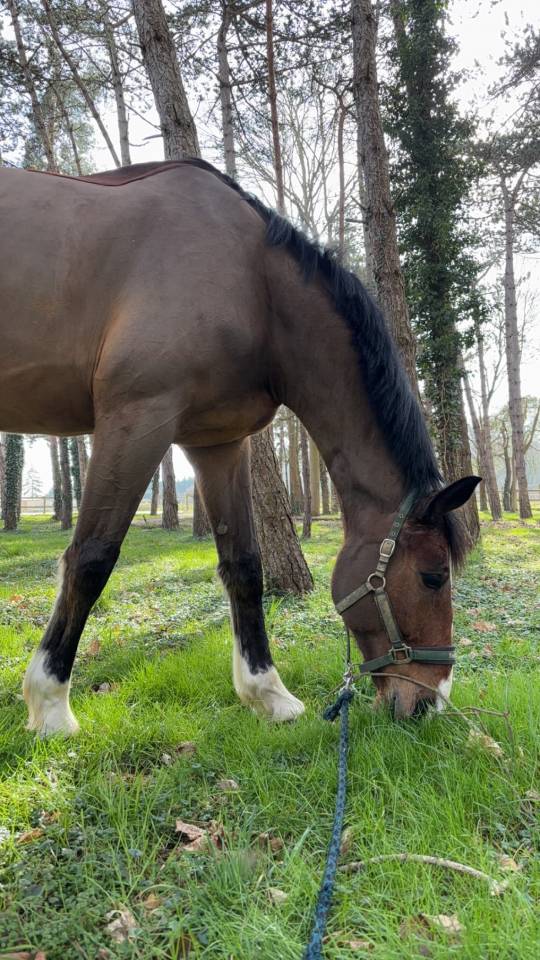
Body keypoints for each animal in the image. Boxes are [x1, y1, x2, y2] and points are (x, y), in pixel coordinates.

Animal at [0, 159, 479, 736]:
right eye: (433, 577)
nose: (430, 702)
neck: (251, 281)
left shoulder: (218, 442)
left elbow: (245, 566)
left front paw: (268, 695)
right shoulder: (136, 418)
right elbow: (92, 557)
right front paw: (49, 704)